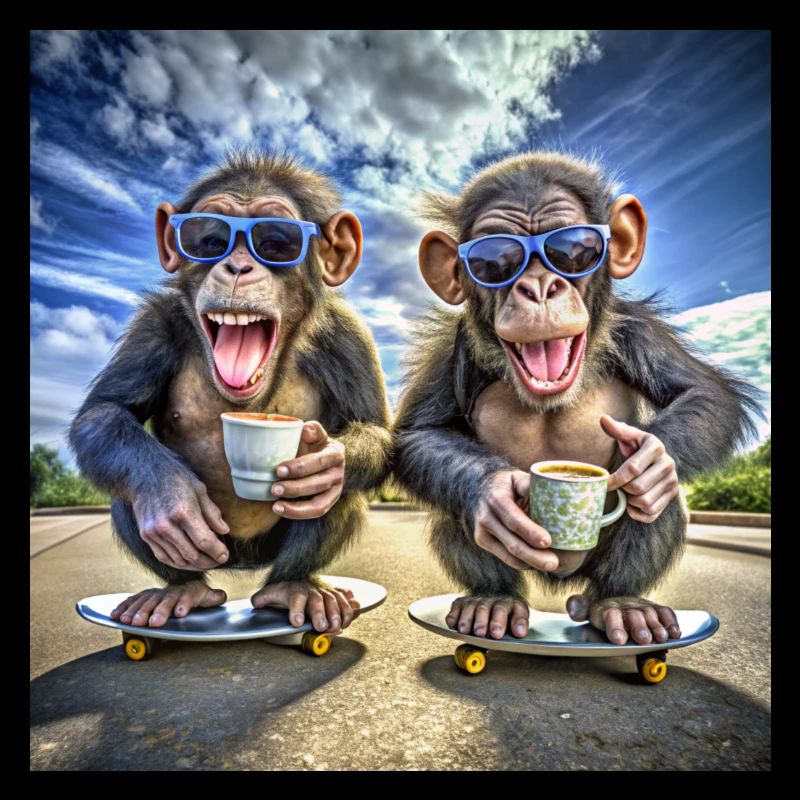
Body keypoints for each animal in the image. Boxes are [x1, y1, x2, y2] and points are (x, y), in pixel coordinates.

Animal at [69, 148, 392, 634]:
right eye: (209, 240)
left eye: (275, 242)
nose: (238, 266)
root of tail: (242, 565)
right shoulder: (154, 323)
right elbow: (105, 410)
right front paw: (170, 495)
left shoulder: (349, 335)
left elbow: (373, 430)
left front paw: (325, 466)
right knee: (127, 493)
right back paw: (181, 590)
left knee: (339, 499)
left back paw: (294, 588)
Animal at [392, 151, 762, 646]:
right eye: (495, 261)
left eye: (573, 250)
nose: (539, 287)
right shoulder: (452, 348)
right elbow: (420, 433)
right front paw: (494, 495)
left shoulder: (637, 327)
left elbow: (703, 393)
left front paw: (645, 460)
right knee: (453, 510)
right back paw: (492, 601)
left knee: (659, 503)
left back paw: (622, 605)